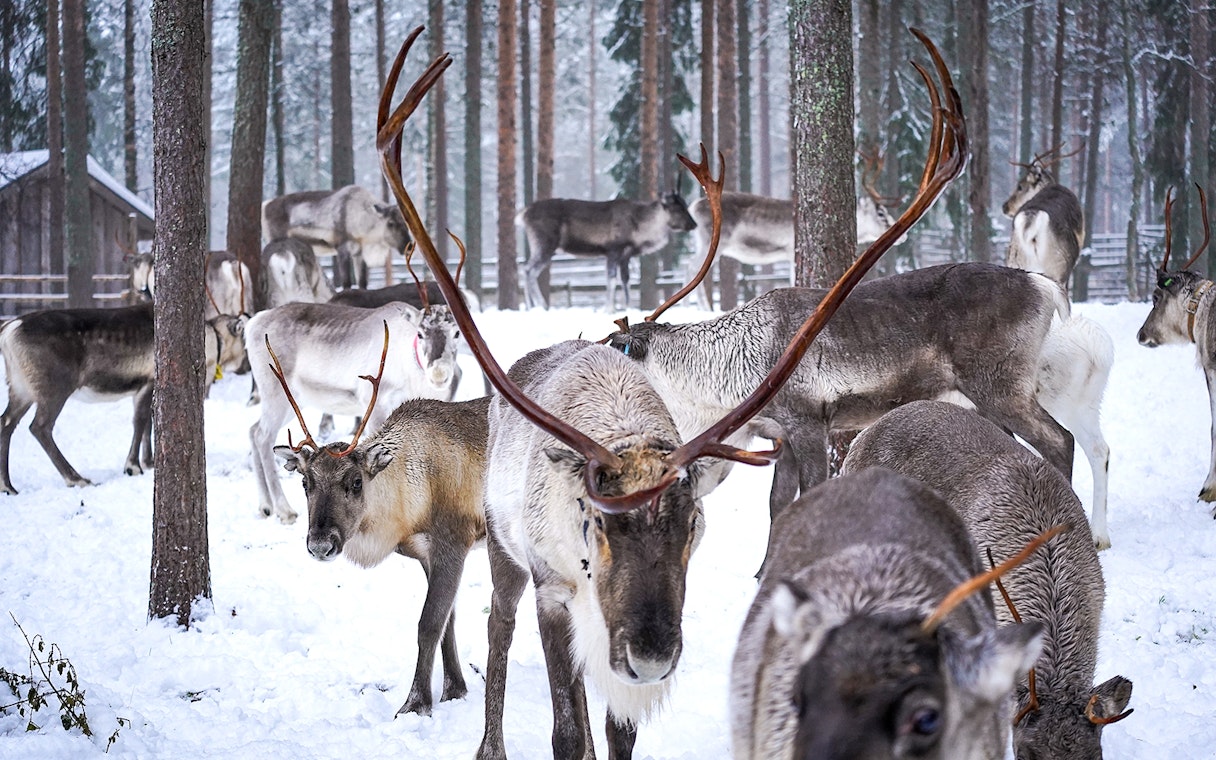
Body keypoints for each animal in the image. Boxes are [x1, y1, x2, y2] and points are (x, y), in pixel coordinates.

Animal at [0, 302, 248, 494]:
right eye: (244, 342)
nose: (246, 366)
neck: (211, 341)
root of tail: (9, 329)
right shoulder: (148, 382)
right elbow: (140, 422)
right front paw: (133, 466)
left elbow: (149, 424)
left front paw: (149, 461)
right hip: (55, 388)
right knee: (39, 427)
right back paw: (76, 478)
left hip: (20, 388)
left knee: (6, 423)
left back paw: (8, 486)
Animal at [244, 294, 462, 524]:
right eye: (420, 333)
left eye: (456, 333)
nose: (439, 374)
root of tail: (253, 323)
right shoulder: (376, 403)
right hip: (275, 394)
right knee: (262, 436)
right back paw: (284, 509)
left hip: (294, 401)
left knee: (253, 430)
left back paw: (265, 506)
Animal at [262, 184, 411, 290]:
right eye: (390, 223)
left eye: (406, 223)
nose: (408, 246)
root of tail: (265, 205)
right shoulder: (342, 248)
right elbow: (346, 282)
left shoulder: (358, 252)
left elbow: (362, 283)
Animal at [266, 322, 490, 717]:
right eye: (305, 482)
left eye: (355, 482)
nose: (320, 545)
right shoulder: (427, 555)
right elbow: (447, 622)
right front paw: (454, 690)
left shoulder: (454, 543)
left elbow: (429, 623)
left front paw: (416, 703)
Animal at [516, 190, 697, 311]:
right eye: (678, 208)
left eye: (685, 204)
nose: (693, 224)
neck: (640, 228)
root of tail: (523, 214)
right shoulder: (613, 250)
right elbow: (611, 280)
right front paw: (609, 308)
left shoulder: (626, 255)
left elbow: (626, 281)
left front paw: (627, 307)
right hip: (544, 244)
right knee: (528, 270)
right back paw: (540, 305)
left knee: (526, 270)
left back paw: (532, 306)